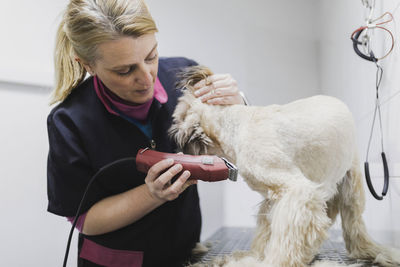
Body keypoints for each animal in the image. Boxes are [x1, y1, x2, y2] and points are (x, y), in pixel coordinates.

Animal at [169, 66, 400, 266]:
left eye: (178, 117)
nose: (174, 140)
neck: (237, 126)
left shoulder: (297, 193)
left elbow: (286, 239)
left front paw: (273, 262)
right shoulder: (272, 200)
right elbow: (266, 234)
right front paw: (254, 257)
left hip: (351, 187)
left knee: (356, 233)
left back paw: (376, 252)